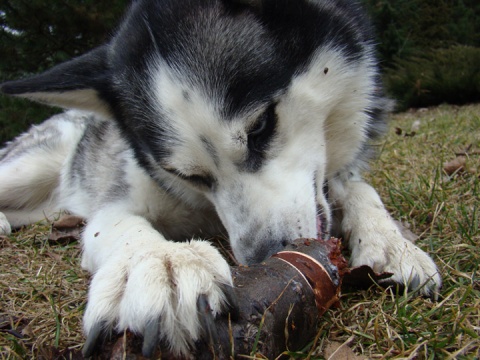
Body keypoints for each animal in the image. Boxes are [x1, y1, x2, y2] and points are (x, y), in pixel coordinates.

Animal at [0, 0, 442, 356]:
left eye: (261, 125)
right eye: (187, 174)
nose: (268, 256)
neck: (204, 211)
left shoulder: (335, 177)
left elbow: (359, 188)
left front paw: (391, 242)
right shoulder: (120, 199)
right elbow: (117, 226)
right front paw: (161, 262)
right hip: (26, 169)